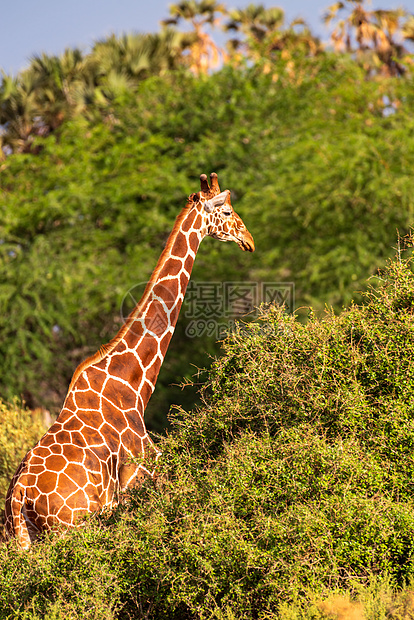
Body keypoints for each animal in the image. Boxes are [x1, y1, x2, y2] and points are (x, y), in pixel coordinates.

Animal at [4, 173, 256, 548]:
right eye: (225, 210)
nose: (248, 240)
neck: (134, 385)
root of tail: (19, 499)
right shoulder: (147, 476)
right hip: (77, 526)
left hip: (24, 543)